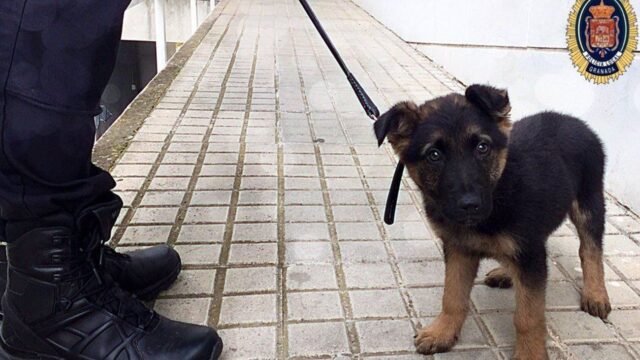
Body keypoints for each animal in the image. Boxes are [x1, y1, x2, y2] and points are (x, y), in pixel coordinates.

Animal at [376, 85, 608, 360]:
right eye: (433, 155)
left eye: (482, 147)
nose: (469, 204)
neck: (498, 190)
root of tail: (574, 121)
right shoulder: (459, 249)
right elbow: (452, 296)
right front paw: (443, 332)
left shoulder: (529, 252)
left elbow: (528, 316)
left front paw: (529, 354)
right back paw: (504, 272)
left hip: (588, 202)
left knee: (590, 250)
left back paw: (596, 293)